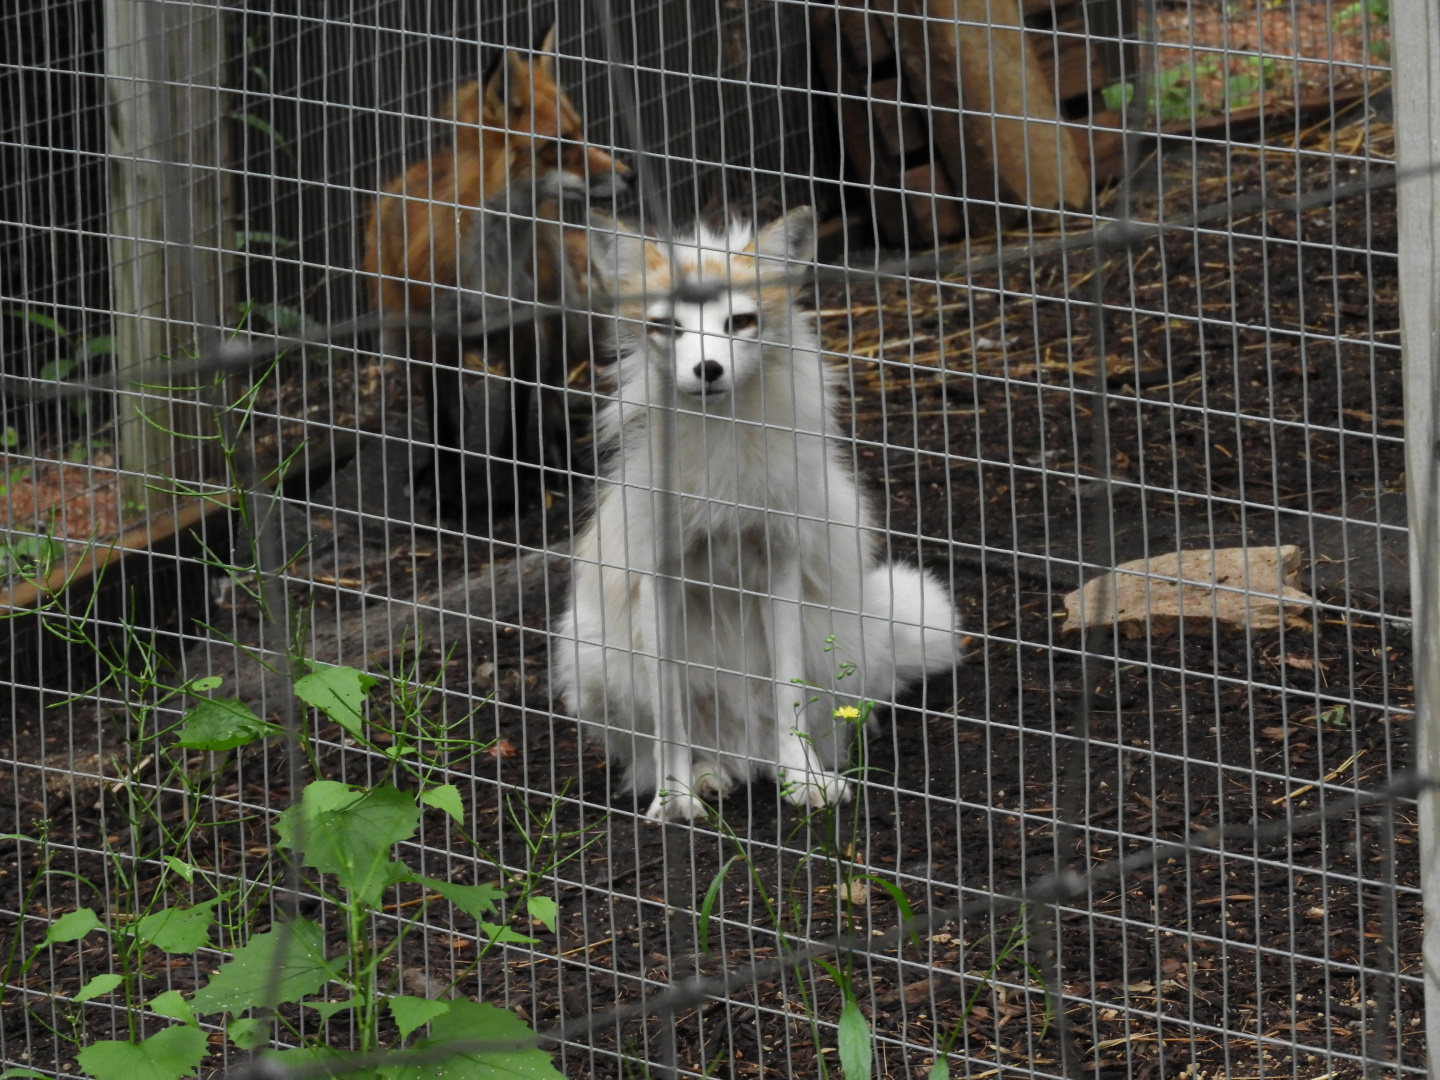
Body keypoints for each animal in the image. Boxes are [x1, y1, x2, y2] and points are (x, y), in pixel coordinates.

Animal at [361, 27, 630, 514]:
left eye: (582, 131)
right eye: (561, 144)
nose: (630, 175)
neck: (489, 266)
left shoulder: (524, 328)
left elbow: (517, 419)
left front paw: (514, 483)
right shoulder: (435, 335)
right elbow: (445, 423)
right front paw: (446, 488)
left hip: (559, 316)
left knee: (553, 398)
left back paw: (564, 462)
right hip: (403, 336)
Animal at [552, 207, 958, 821]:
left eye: (739, 321)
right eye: (666, 326)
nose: (708, 369)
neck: (723, 468)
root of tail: (743, 751)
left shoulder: (780, 565)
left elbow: (788, 688)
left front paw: (805, 778)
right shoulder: (657, 579)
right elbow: (669, 715)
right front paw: (674, 797)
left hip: (845, 638)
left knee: (818, 721)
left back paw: (788, 765)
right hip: (594, 657)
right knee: (654, 754)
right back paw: (704, 777)